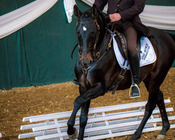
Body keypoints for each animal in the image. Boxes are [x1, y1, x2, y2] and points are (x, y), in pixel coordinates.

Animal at [67, 4, 175, 139]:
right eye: (77, 32)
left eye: (93, 32)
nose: (85, 61)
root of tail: (168, 36)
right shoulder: (84, 87)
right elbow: (83, 117)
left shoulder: (100, 88)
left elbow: (77, 101)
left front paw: (71, 130)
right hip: (149, 80)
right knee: (159, 97)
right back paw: (164, 129)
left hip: (157, 77)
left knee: (150, 105)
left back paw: (136, 134)